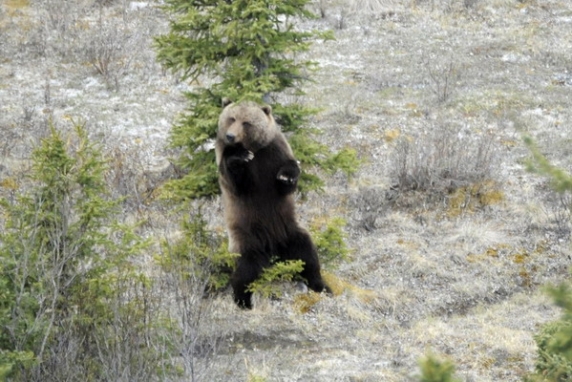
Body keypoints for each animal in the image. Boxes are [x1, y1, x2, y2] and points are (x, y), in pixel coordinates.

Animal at [214, 99, 328, 310]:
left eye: (246, 122)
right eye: (231, 118)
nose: (231, 136)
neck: (255, 150)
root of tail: (273, 249)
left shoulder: (275, 152)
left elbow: (287, 178)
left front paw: (286, 176)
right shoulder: (226, 160)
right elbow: (237, 184)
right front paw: (240, 156)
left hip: (289, 231)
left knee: (306, 255)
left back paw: (321, 285)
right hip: (246, 241)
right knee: (245, 271)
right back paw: (243, 301)